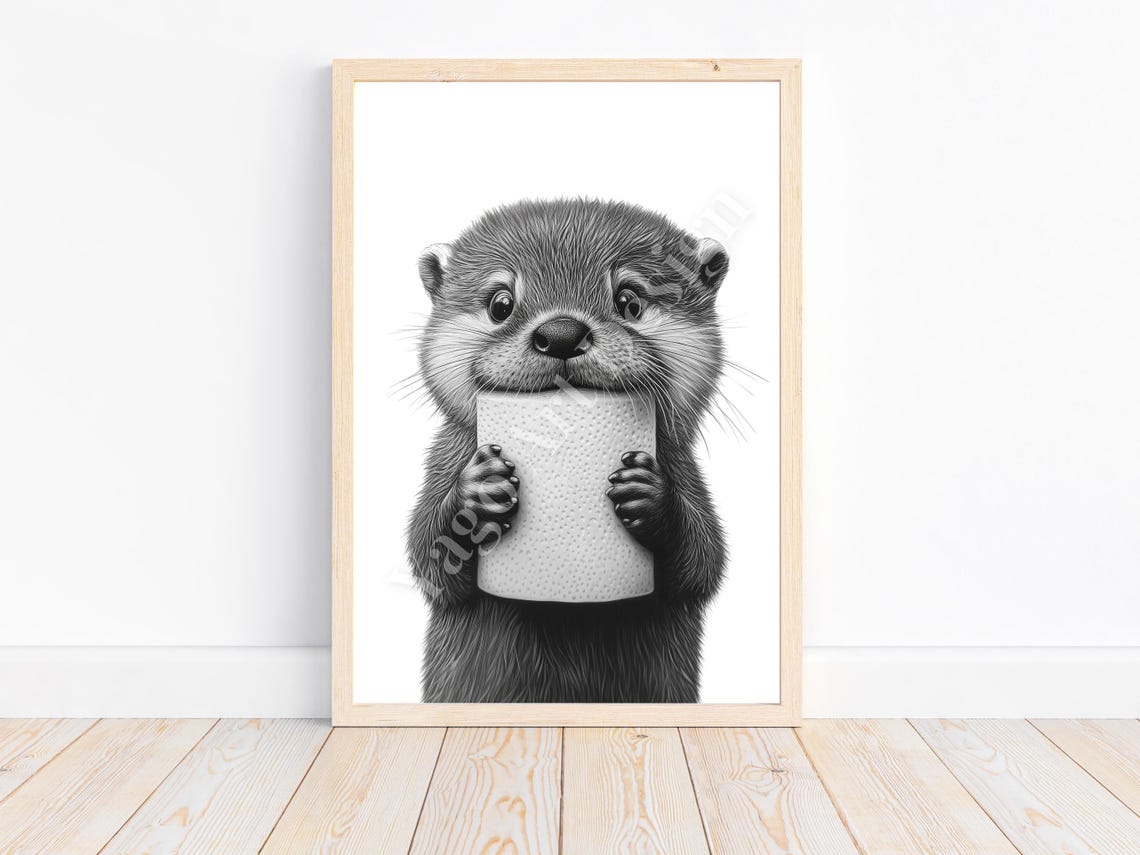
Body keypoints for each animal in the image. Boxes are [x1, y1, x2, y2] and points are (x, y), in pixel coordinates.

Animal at [405, 198, 728, 703]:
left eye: (630, 301)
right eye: (500, 303)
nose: (561, 332)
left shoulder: (686, 469)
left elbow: (702, 562)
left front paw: (648, 493)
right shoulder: (441, 462)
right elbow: (429, 558)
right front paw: (478, 491)